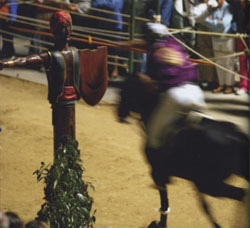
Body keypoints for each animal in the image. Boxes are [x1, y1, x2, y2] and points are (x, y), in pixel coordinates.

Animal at [116, 75, 249, 228]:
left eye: (124, 92)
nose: (119, 114)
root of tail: (236, 136)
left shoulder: (157, 173)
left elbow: (164, 202)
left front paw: (160, 222)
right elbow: (204, 207)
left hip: (210, 185)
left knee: (241, 194)